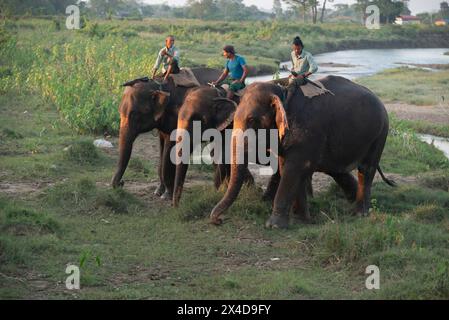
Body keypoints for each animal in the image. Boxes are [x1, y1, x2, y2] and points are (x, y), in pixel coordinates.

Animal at [109, 67, 220, 200]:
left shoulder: (176, 117)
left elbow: (170, 149)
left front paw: (166, 195)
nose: (121, 183)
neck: (159, 85)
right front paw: (158, 192)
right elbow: (162, 150)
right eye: (120, 112)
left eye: (135, 115)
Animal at [208, 76, 394, 229]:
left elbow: (294, 168)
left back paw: (359, 213)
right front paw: (302, 220)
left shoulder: (307, 131)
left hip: (380, 134)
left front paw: (274, 226)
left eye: (252, 120)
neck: (281, 92)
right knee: (341, 170)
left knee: (366, 169)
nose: (219, 220)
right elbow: (288, 168)